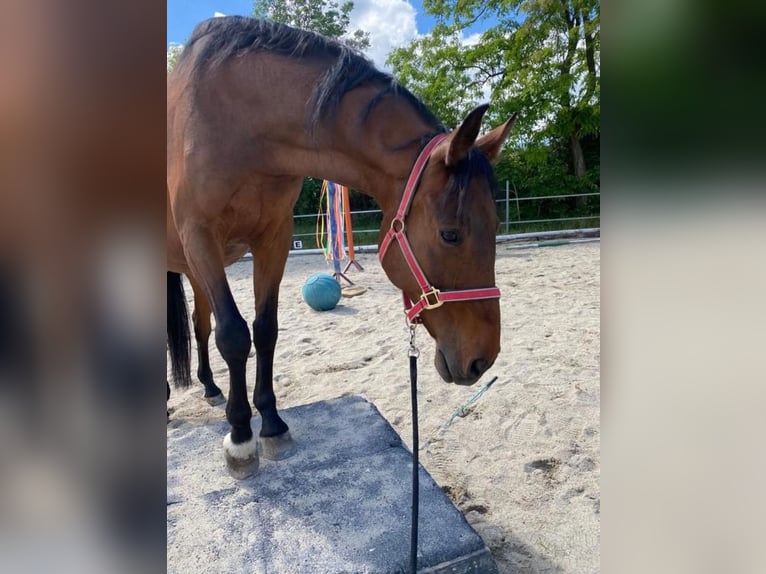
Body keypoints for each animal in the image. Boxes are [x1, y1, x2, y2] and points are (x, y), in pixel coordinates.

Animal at [166, 15, 516, 480]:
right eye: (450, 234)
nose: (483, 359)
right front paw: (240, 437)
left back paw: (207, 386)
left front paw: (272, 424)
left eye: (495, 225)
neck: (236, 118)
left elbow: (265, 329)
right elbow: (235, 335)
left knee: (199, 325)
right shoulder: (200, 237)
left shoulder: (273, 239)